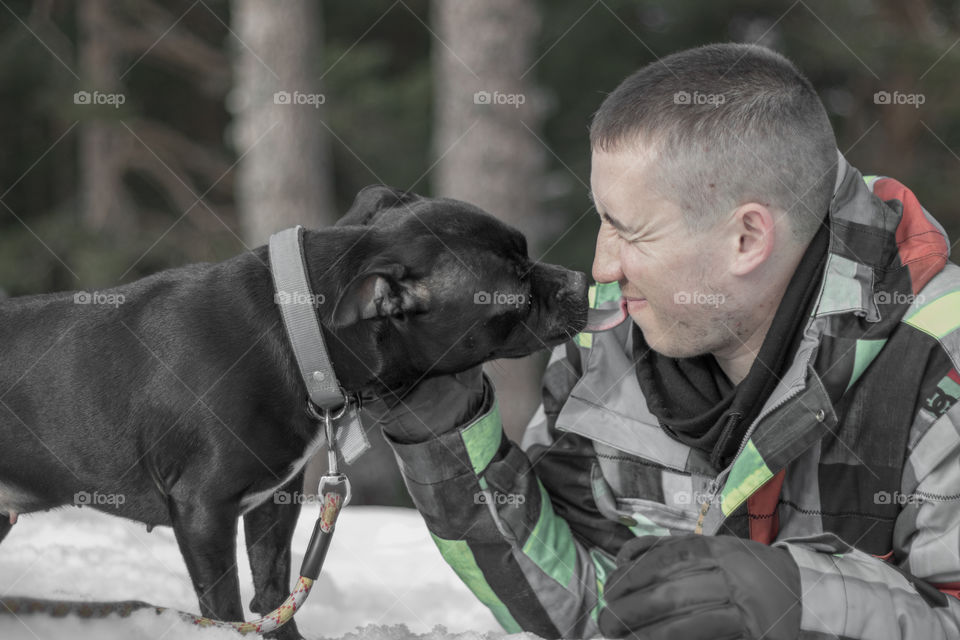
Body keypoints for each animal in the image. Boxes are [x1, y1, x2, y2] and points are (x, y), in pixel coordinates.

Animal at [0, 186, 584, 640]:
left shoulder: (273, 500)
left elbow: (273, 593)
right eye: (516, 288)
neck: (296, 331)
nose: (580, 281)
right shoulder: (203, 510)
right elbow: (226, 610)